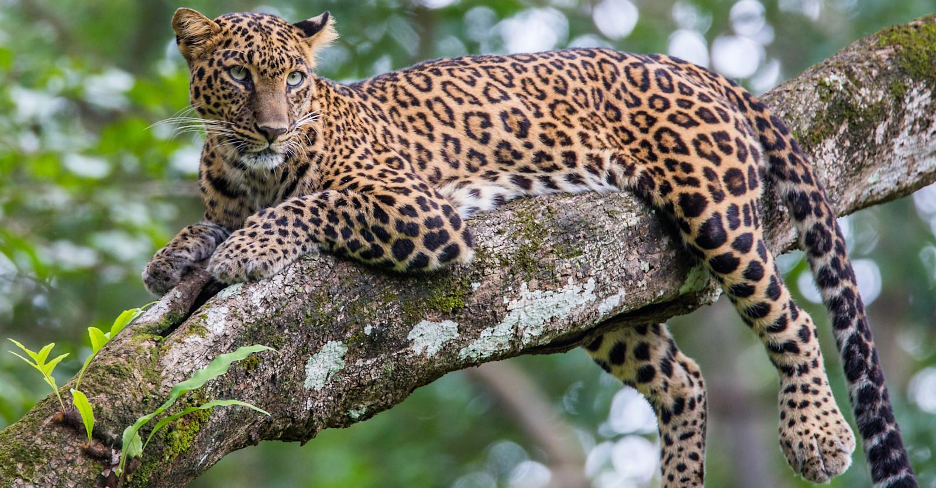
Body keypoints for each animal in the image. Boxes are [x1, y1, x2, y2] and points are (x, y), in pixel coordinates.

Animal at [142, 8, 917, 487]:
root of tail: (690, 66)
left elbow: (313, 203)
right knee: (686, 379)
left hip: (714, 212)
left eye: (295, 78)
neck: (248, 168)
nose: (274, 130)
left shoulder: (417, 211)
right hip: (594, 299)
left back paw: (816, 434)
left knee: (794, 319)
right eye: (239, 75)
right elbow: (209, 226)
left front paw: (245, 248)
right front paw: (173, 257)